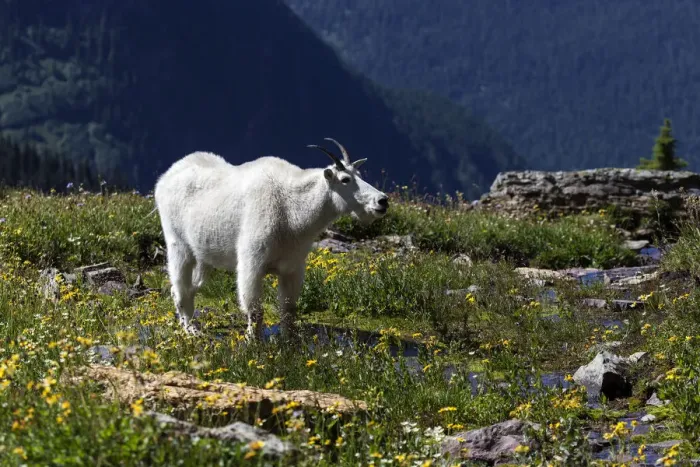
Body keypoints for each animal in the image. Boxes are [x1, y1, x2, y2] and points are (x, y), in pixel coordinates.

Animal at [153, 138, 389, 341]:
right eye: (345, 179)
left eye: (359, 173)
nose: (382, 201)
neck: (293, 209)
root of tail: (165, 178)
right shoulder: (252, 262)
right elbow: (254, 308)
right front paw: (252, 341)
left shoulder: (293, 266)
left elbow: (289, 309)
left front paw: (290, 341)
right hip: (178, 244)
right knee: (180, 287)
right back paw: (191, 329)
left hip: (203, 255)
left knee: (190, 287)